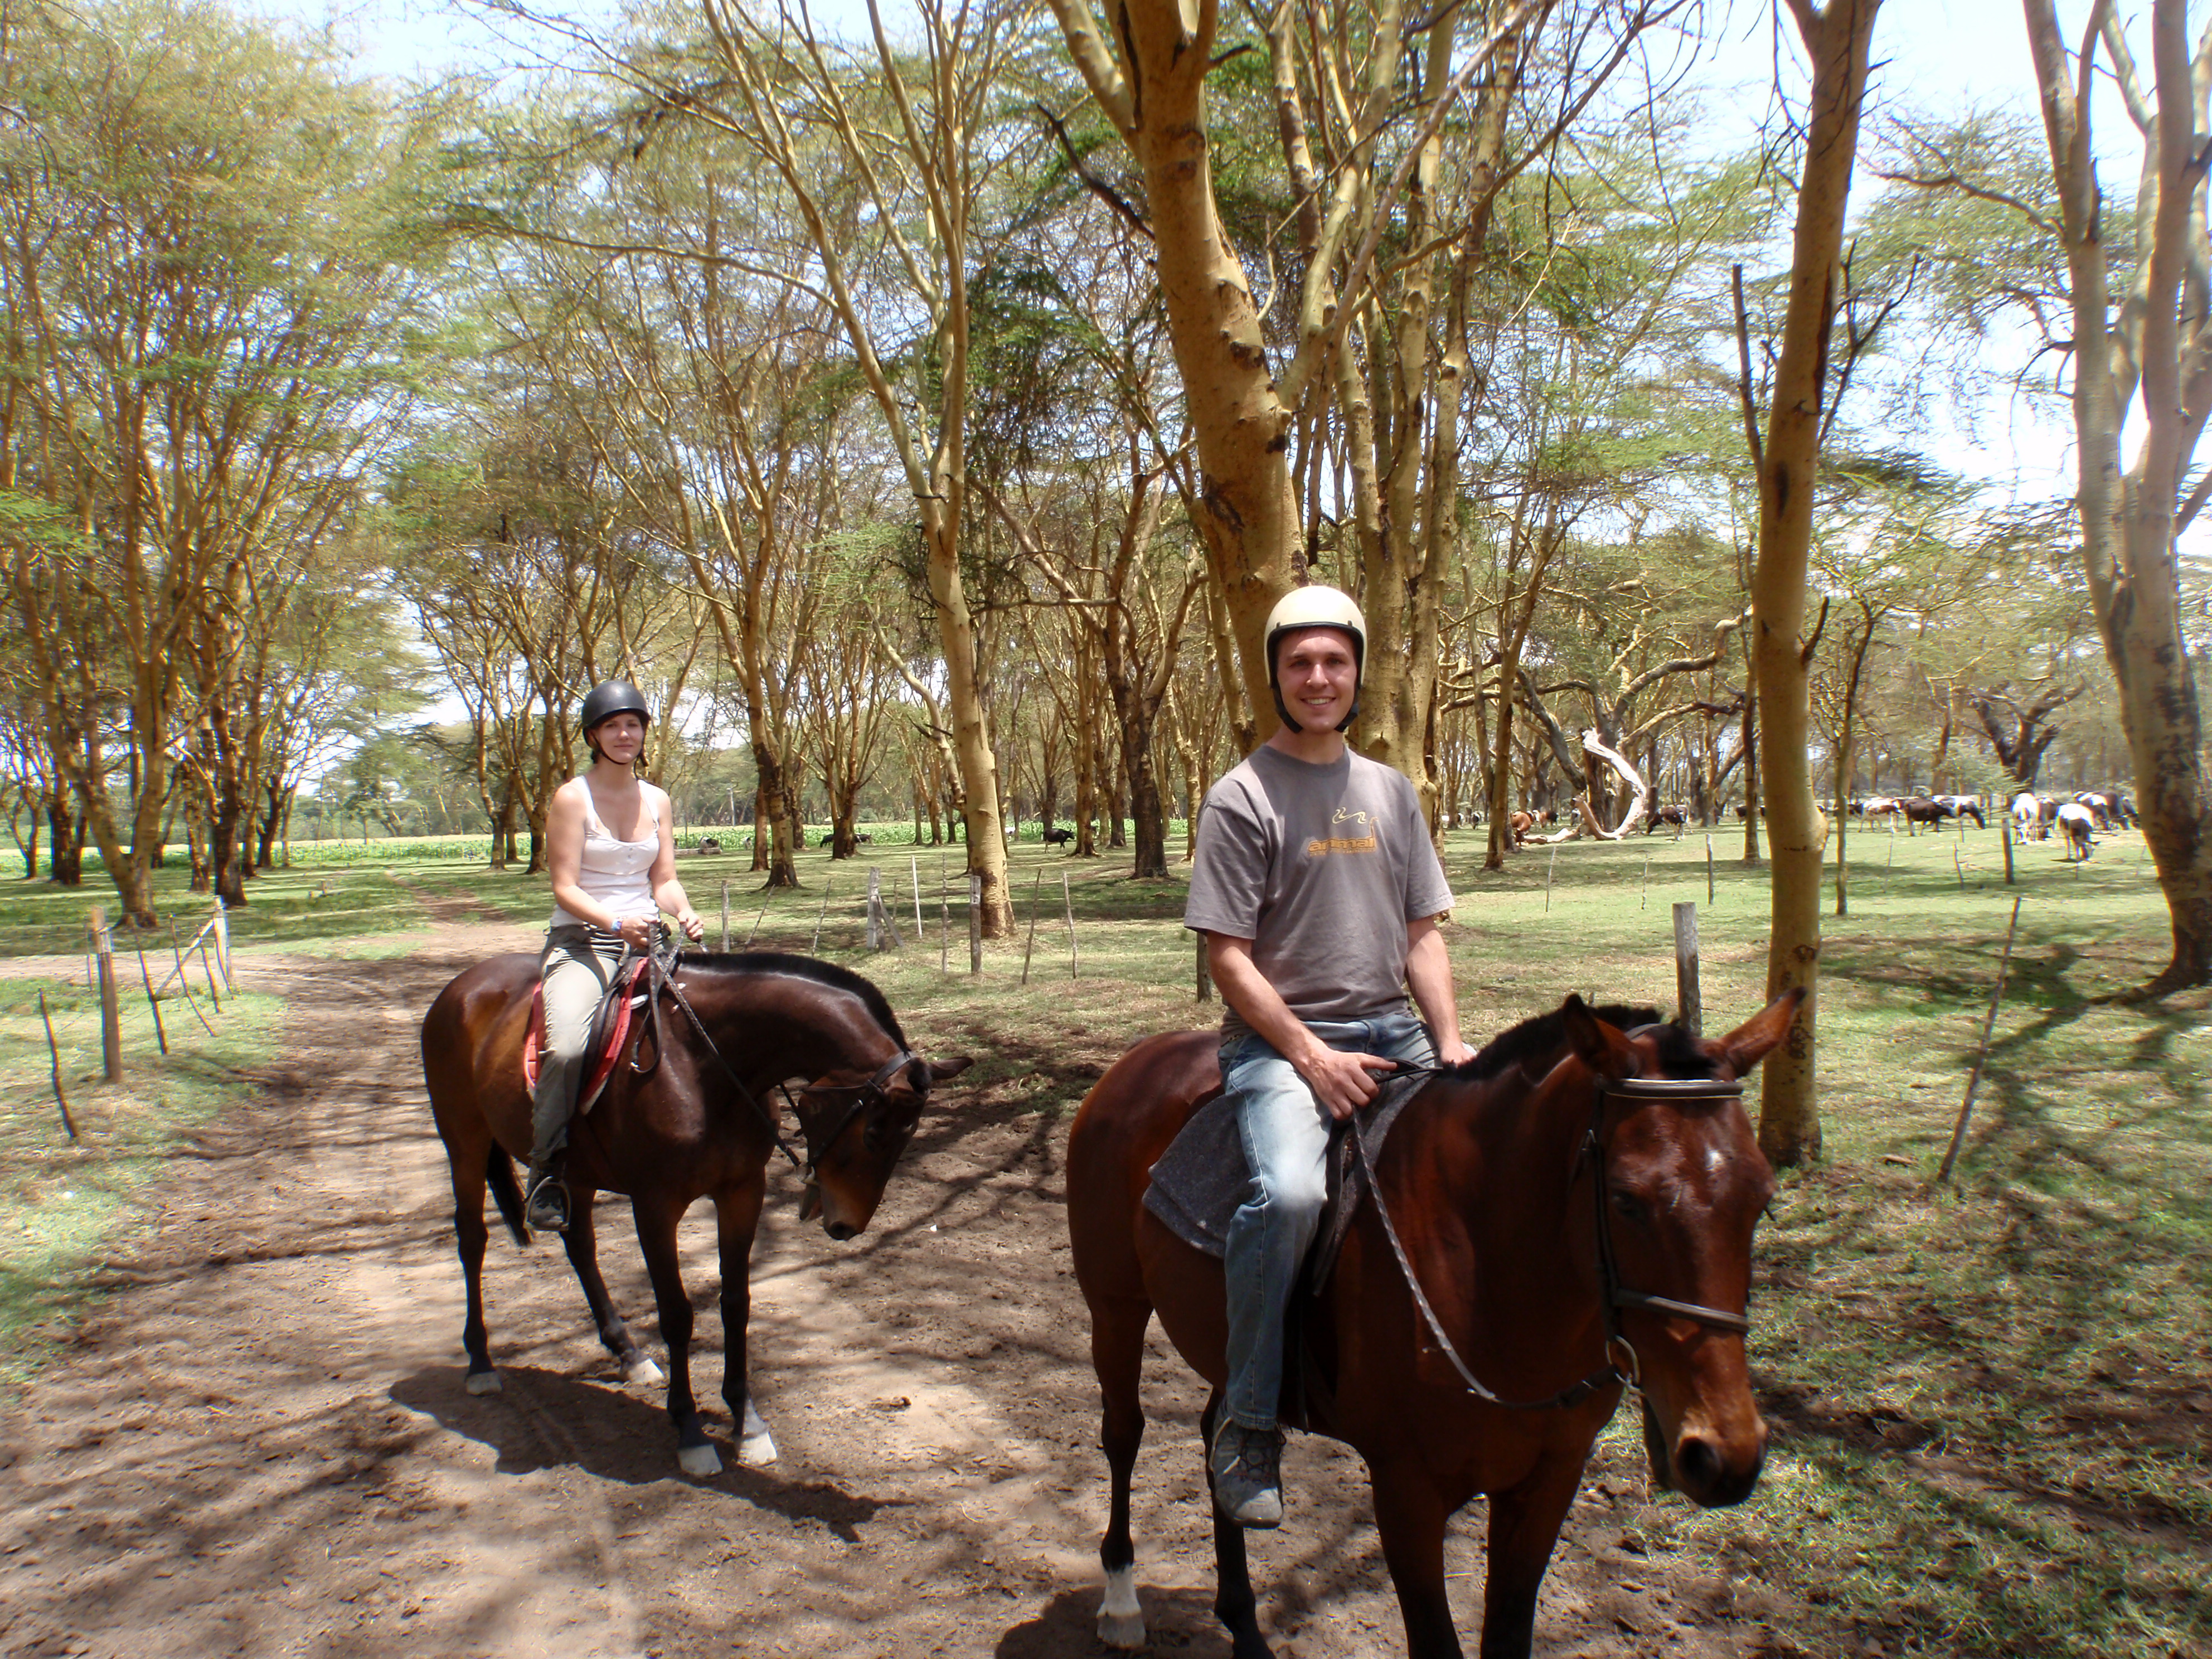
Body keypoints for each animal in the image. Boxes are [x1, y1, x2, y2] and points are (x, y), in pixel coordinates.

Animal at [420, 947, 968, 1477]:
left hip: (574, 1173)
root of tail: (461, 987)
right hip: (465, 1142)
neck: (704, 1064)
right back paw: (481, 1362)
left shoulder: (742, 1192)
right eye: (874, 1133)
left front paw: (747, 1422)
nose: (845, 1226)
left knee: (580, 1246)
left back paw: (628, 1353)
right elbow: (677, 1314)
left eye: (908, 1137)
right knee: (472, 1239)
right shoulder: (655, 1206)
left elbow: (736, 1303)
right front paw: (690, 1432)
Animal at [1061, 995, 1804, 1655]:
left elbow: (1505, 1635)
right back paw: (1121, 1604)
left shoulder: (1549, 1480)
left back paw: (1243, 1623)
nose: (1724, 1455)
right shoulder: (1406, 1490)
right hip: (1115, 1308)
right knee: (1123, 1433)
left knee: (1218, 1431)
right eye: (1626, 1199)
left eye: (1762, 1197)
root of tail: (1138, 1061)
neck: (1485, 1260)